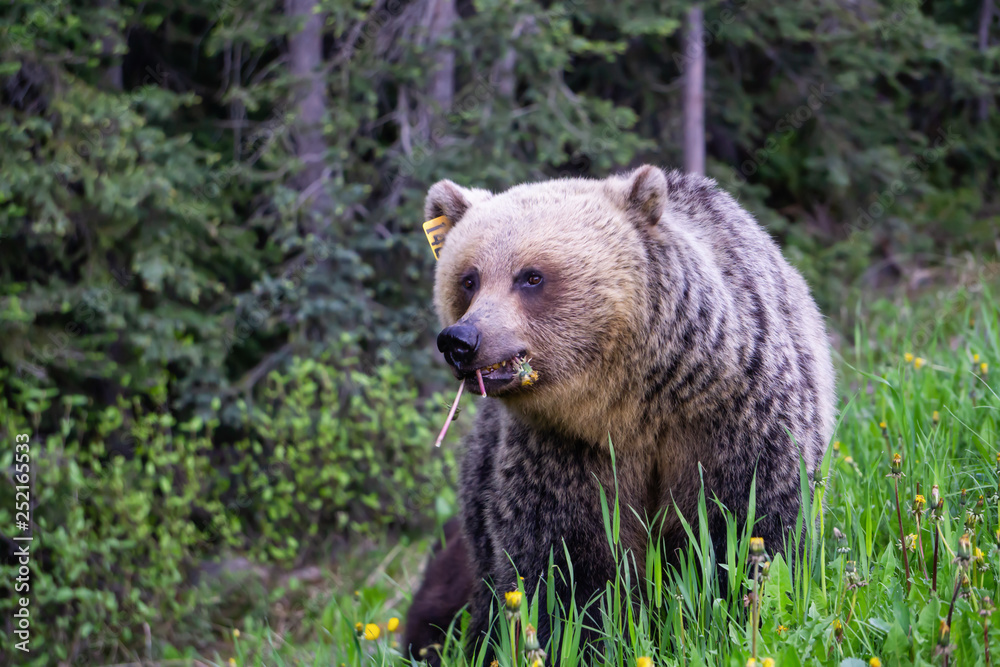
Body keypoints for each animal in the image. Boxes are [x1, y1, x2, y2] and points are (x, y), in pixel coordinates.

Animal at [417, 165, 836, 658]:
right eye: (469, 278)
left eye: (531, 276)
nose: (462, 340)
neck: (634, 404)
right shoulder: (563, 452)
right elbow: (567, 565)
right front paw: (586, 638)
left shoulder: (735, 417)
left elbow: (749, 525)